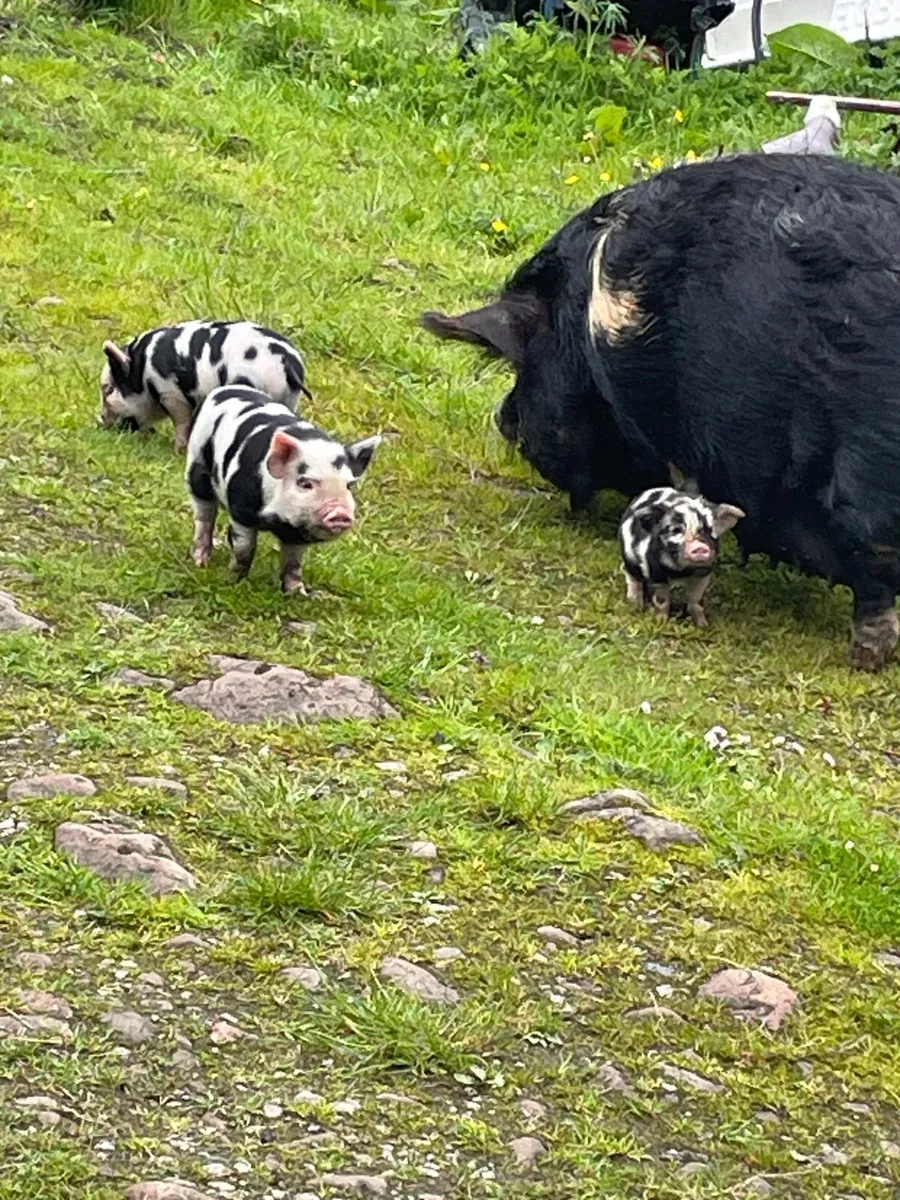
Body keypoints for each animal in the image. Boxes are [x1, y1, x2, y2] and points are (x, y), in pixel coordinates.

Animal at [99, 319, 310, 451]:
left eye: (108, 390)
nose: (99, 421)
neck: (142, 373)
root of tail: (287, 360)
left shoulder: (170, 394)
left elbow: (181, 422)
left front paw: (178, 450)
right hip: (290, 399)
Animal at [186, 385, 381, 594]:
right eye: (305, 483)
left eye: (349, 485)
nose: (340, 514)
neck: (276, 521)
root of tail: (227, 388)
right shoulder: (241, 509)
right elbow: (244, 547)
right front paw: (233, 581)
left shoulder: (296, 535)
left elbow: (293, 562)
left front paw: (299, 593)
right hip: (196, 466)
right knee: (204, 517)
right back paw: (201, 562)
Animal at [618, 486, 744, 626]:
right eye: (676, 530)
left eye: (708, 530)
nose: (699, 546)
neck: (683, 572)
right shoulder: (656, 574)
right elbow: (662, 601)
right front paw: (661, 623)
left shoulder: (703, 575)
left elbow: (695, 600)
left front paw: (703, 625)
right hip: (629, 560)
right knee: (631, 577)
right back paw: (635, 606)